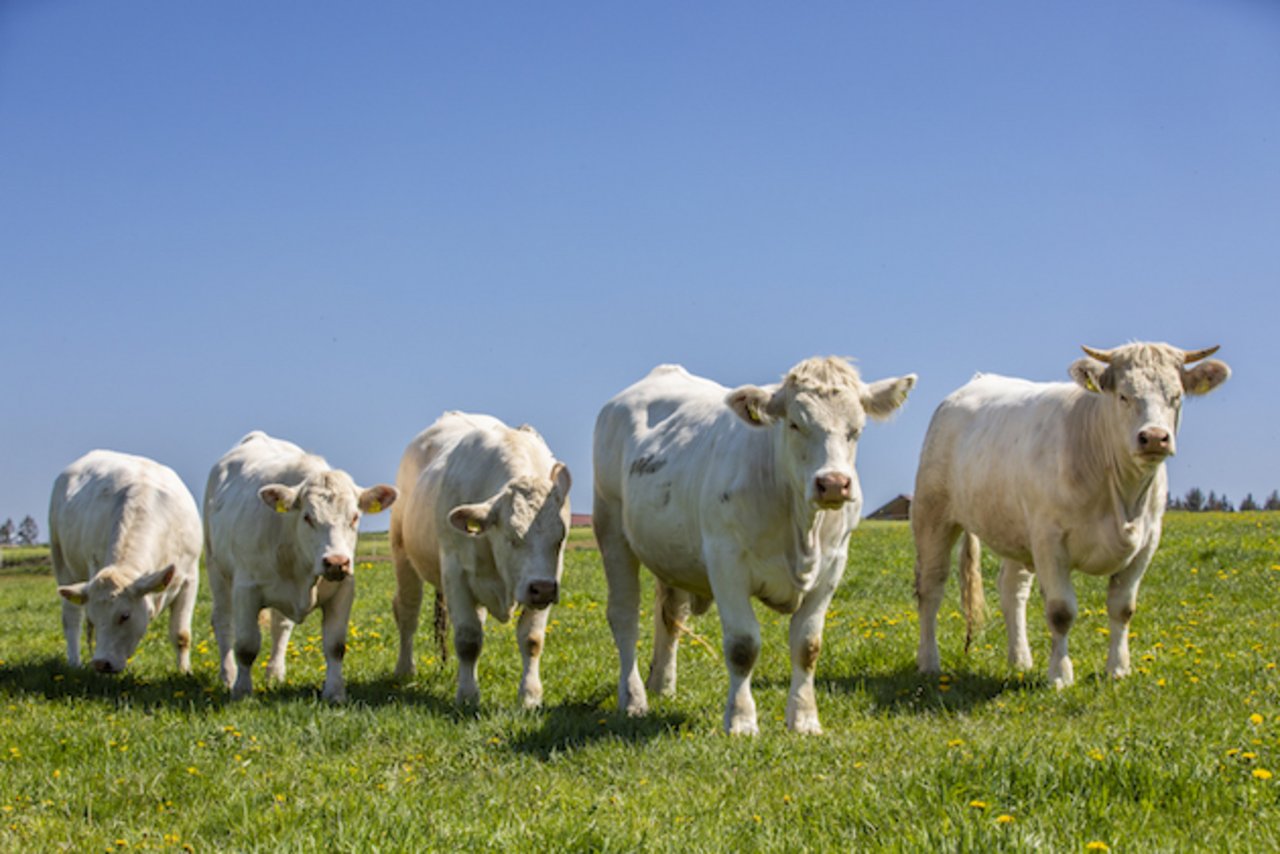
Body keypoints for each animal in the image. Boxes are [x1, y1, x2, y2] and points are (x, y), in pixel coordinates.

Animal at [49, 450, 202, 676]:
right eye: (93, 617)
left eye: (125, 616)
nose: (101, 663)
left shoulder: (189, 579)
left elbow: (181, 634)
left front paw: (184, 672)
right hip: (62, 563)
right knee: (71, 619)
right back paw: (74, 663)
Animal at [203, 435, 394, 701]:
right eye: (307, 517)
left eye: (355, 517)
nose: (337, 561)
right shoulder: (246, 589)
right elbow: (246, 646)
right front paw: (242, 691)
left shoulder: (343, 590)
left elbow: (335, 646)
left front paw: (335, 692)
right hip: (216, 570)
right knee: (223, 623)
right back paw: (228, 675)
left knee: (281, 626)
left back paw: (275, 673)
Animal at [386, 414, 573, 706]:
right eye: (511, 537)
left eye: (560, 537)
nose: (542, 589)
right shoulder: (455, 573)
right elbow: (468, 638)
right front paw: (467, 695)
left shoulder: (551, 576)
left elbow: (531, 639)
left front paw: (530, 695)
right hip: (403, 554)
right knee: (407, 611)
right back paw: (405, 669)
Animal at [593, 361, 916, 737]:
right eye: (794, 423)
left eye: (857, 429)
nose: (834, 483)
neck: (801, 529)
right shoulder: (726, 562)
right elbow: (743, 646)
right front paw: (741, 720)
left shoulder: (833, 567)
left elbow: (808, 645)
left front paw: (805, 718)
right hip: (612, 528)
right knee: (625, 616)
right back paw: (633, 698)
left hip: (668, 552)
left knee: (669, 616)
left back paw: (663, 685)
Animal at [911, 343, 1228, 686]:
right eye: (1123, 396)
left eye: (1176, 396)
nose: (1155, 437)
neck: (1123, 496)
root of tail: (976, 381)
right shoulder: (1050, 541)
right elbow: (1061, 612)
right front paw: (1060, 676)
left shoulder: (1147, 542)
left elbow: (1123, 608)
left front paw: (1118, 669)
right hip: (933, 513)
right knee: (931, 587)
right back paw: (929, 662)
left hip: (1015, 528)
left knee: (1012, 589)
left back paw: (1020, 660)